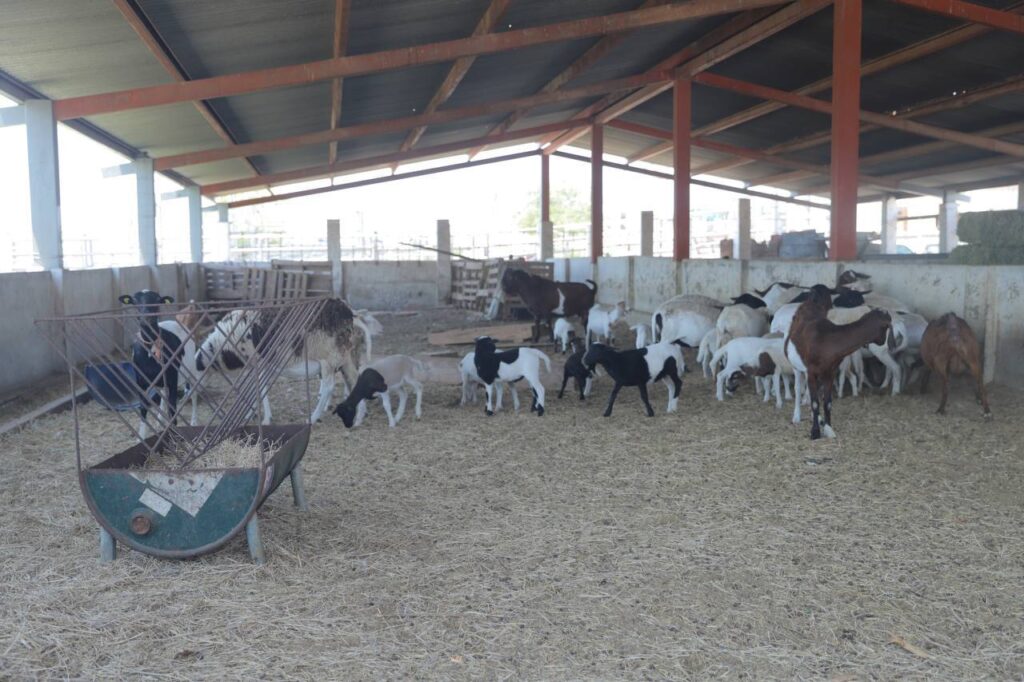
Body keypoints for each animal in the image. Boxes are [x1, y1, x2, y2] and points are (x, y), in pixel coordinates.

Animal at [786, 284, 892, 438]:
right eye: (886, 328)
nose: (884, 342)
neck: (827, 340)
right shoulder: (811, 371)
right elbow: (815, 403)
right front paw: (815, 432)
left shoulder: (830, 372)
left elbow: (827, 402)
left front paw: (828, 428)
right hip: (797, 367)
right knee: (798, 388)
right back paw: (797, 416)